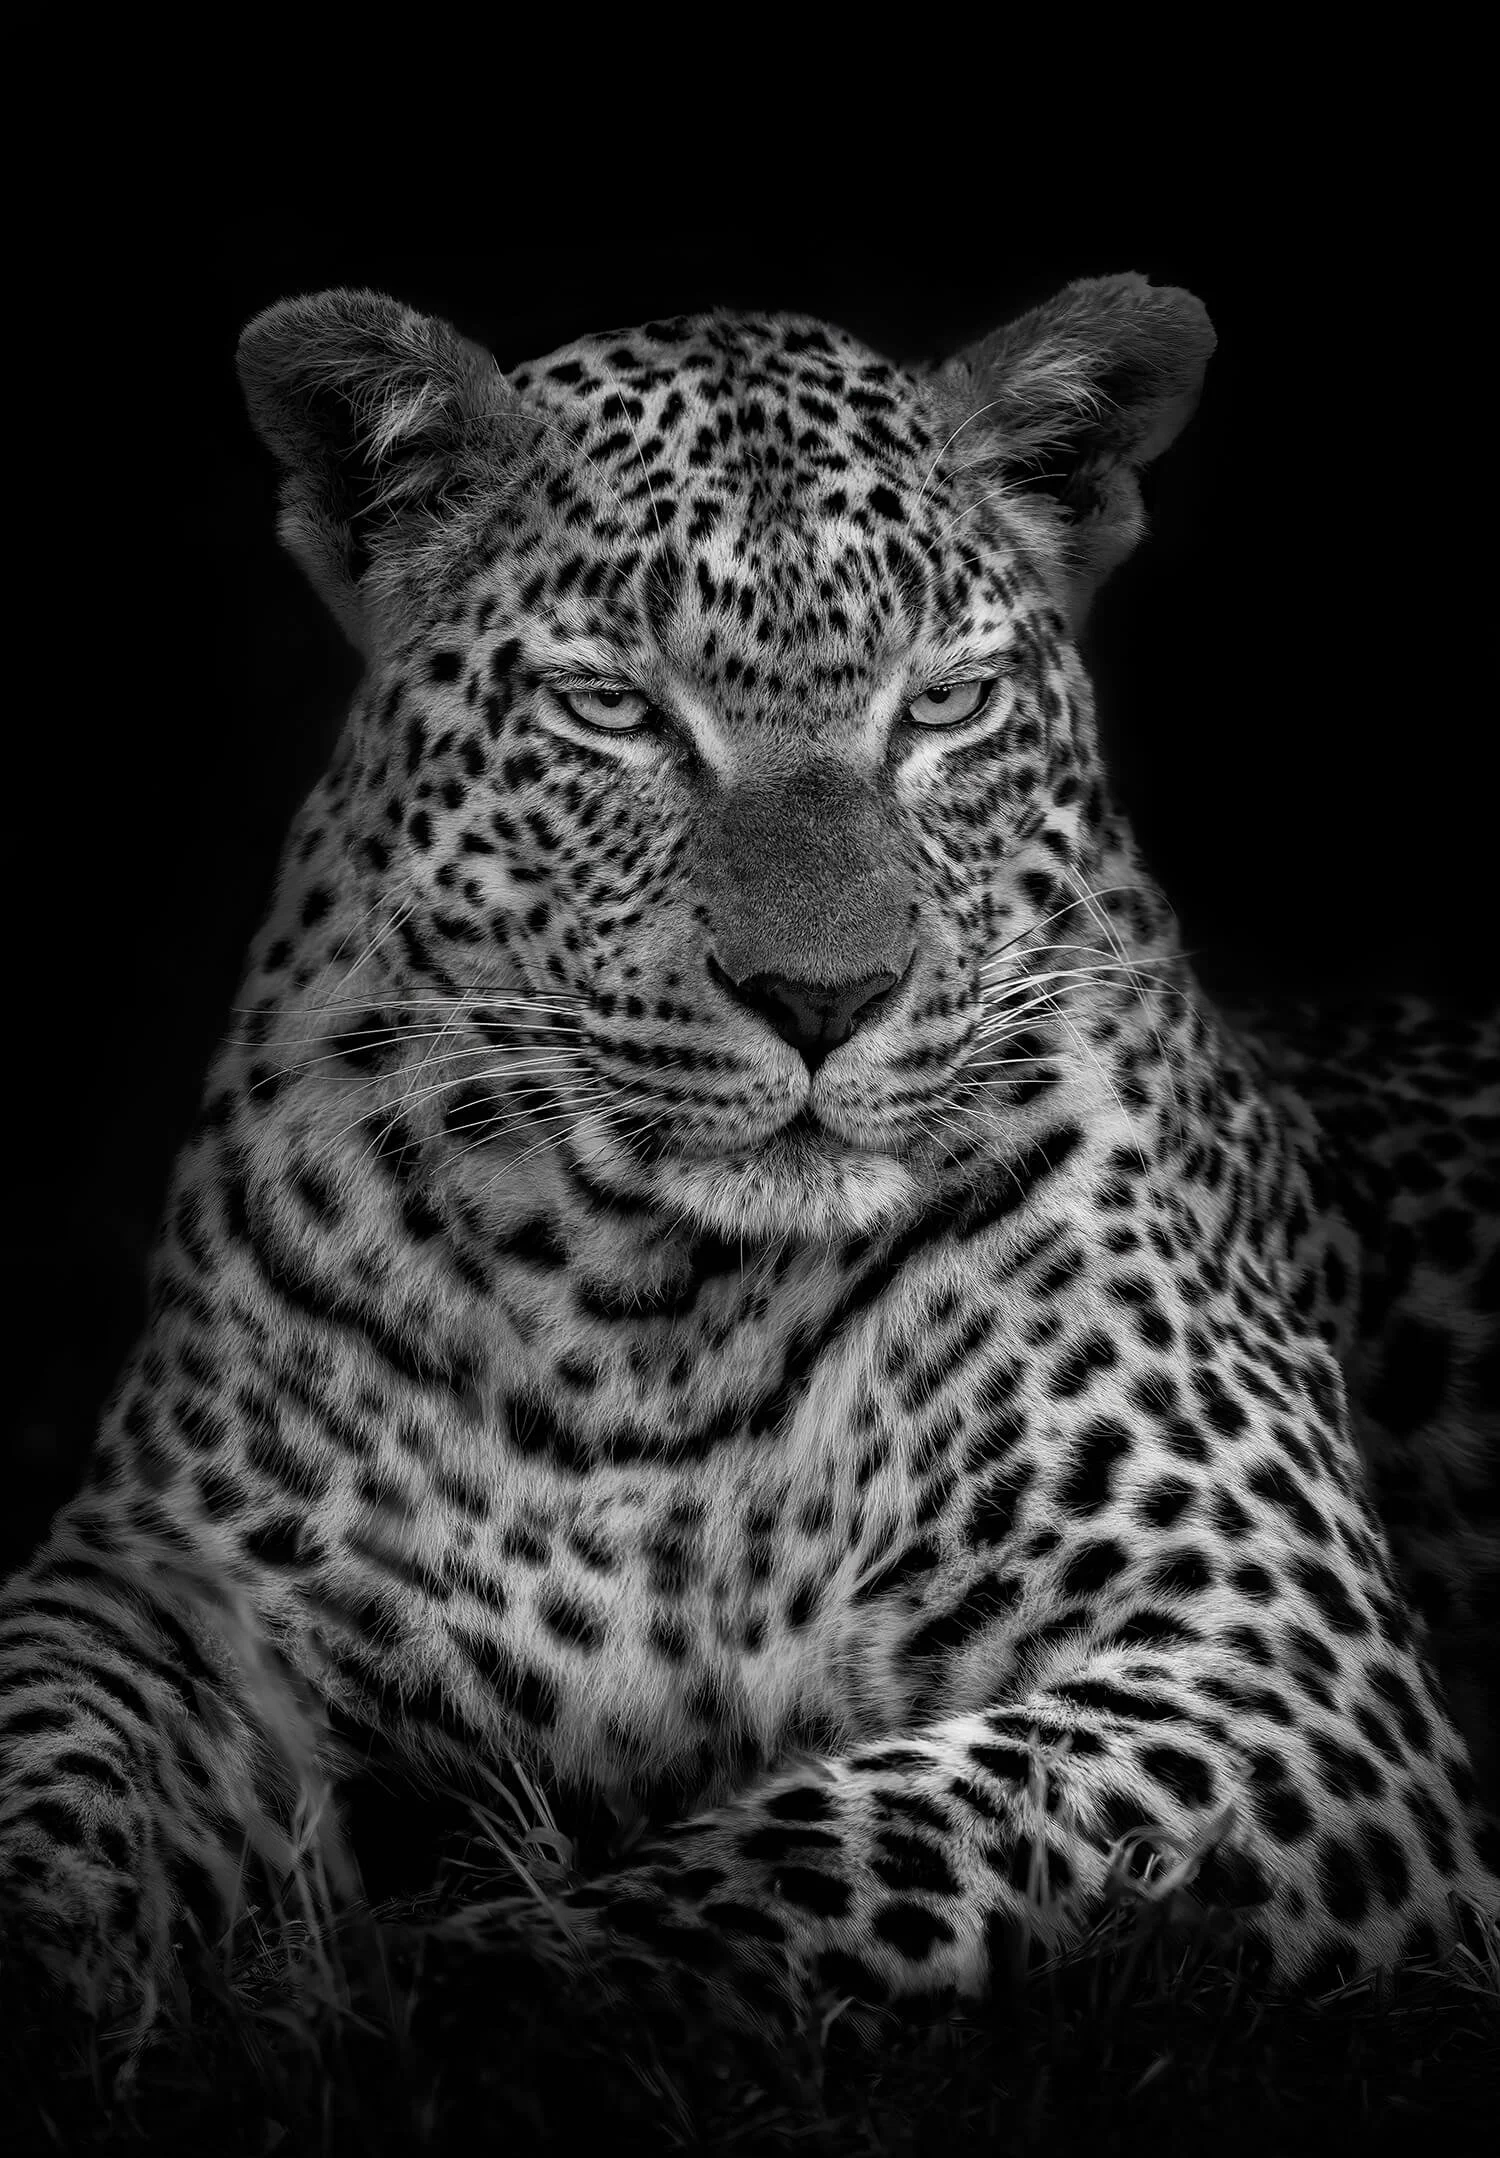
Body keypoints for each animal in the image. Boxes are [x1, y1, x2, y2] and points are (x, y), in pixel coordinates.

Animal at [2, 273, 1496, 2074]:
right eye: (618, 710)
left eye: (941, 706)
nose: (824, 997)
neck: (647, 1316)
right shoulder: (161, 1585)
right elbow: (51, 1735)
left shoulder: (1275, 1661)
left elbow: (847, 1843)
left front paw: (475, 1998)